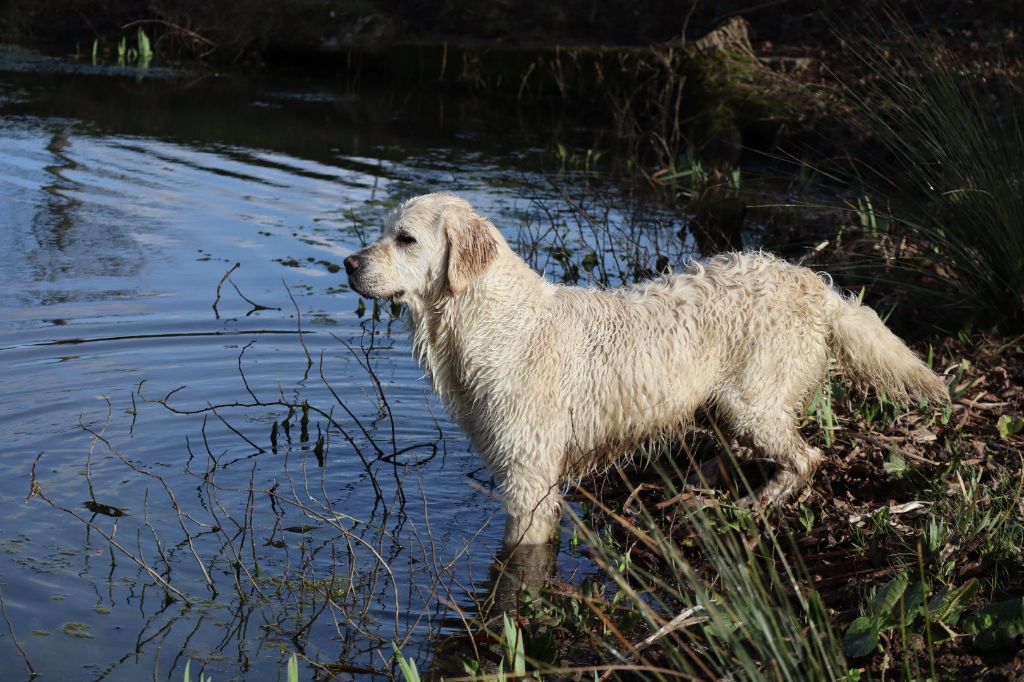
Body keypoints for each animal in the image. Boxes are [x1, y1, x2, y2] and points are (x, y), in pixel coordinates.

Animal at [346, 192, 950, 548]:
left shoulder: (529, 476)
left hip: (752, 401)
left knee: (807, 458)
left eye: (406, 239)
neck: (486, 318)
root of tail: (814, 286)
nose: (349, 263)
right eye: (380, 231)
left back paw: (756, 504)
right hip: (726, 402)